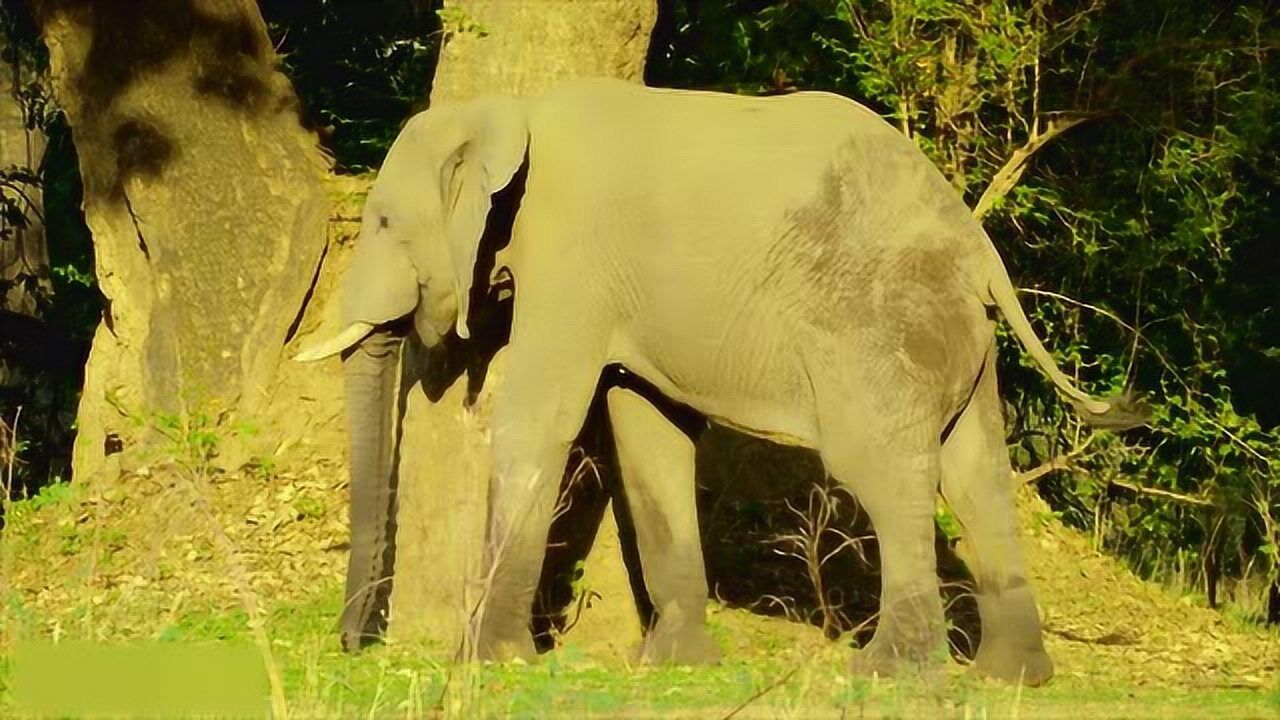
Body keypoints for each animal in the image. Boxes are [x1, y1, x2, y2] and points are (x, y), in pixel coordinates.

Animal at [302, 78, 1152, 681]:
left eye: (383, 223)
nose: (351, 644)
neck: (507, 111)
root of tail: (981, 251)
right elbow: (649, 431)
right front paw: (674, 667)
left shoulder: (571, 258)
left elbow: (543, 419)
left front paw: (487, 661)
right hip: (960, 343)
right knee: (978, 474)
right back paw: (1011, 678)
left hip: (878, 330)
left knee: (887, 471)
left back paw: (887, 674)